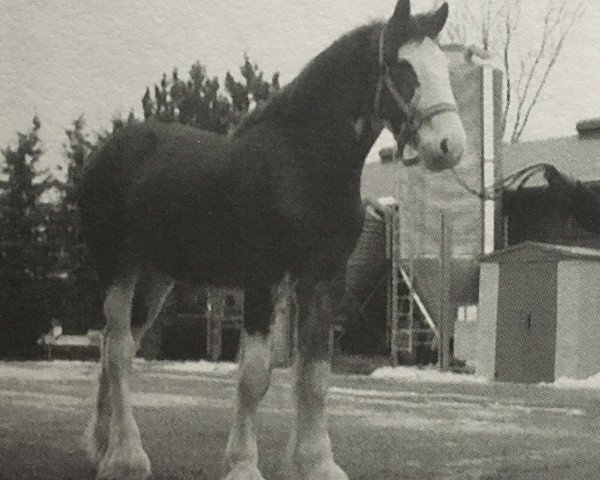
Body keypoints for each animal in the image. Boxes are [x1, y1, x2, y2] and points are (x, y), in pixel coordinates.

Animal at [77, 1, 466, 478]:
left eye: (443, 67)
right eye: (403, 67)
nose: (451, 146)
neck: (302, 167)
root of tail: (104, 153)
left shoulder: (323, 281)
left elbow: (314, 378)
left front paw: (318, 464)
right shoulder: (261, 280)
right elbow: (255, 376)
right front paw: (243, 464)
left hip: (155, 278)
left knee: (116, 351)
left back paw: (102, 448)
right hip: (118, 267)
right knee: (116, 354)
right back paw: (127, 457)